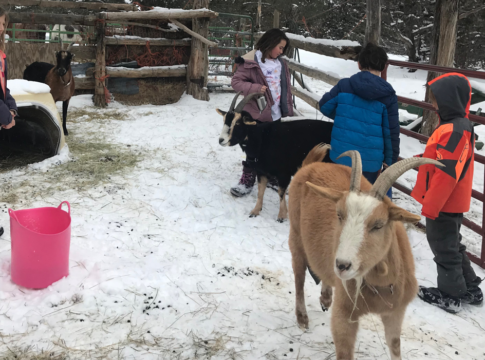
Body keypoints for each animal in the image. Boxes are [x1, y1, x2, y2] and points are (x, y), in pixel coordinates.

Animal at [218, 92, 334, 222]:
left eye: (237, 123)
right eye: (224, 120)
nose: (221, 140)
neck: (262, 139)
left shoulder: (284, 173)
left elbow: (280, 192)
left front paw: (282, 216)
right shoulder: (261, 171)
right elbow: (260, 191)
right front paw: (255, 211)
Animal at [288, 144, 442, 360]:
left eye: (378, 225)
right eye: (339, 214)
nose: (342, 265)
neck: (380, 285)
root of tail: (312, 164)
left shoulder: (395, 313)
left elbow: (395, 346)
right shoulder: (344, 313)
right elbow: (344, 352)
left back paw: (326, 298)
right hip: (295, 235)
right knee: (299, 276)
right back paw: (302, 317)